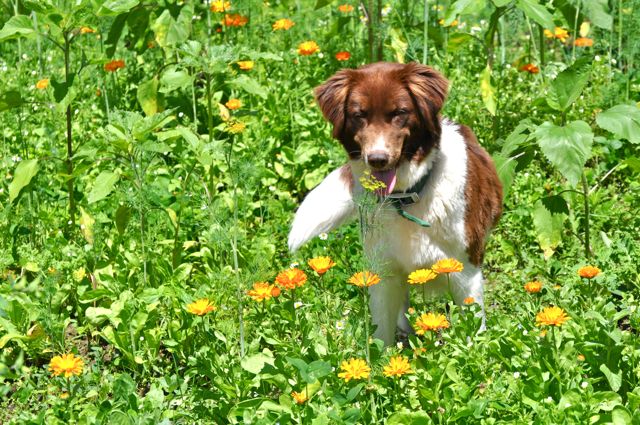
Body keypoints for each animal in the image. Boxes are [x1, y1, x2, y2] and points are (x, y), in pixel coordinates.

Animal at [288, 61, 502, 344]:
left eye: (400, 112)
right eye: (359, 115)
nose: (377, 159)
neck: (406, 198)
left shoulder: (467, 274)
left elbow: (474, 336)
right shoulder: (384, 275)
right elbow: (382, 338)